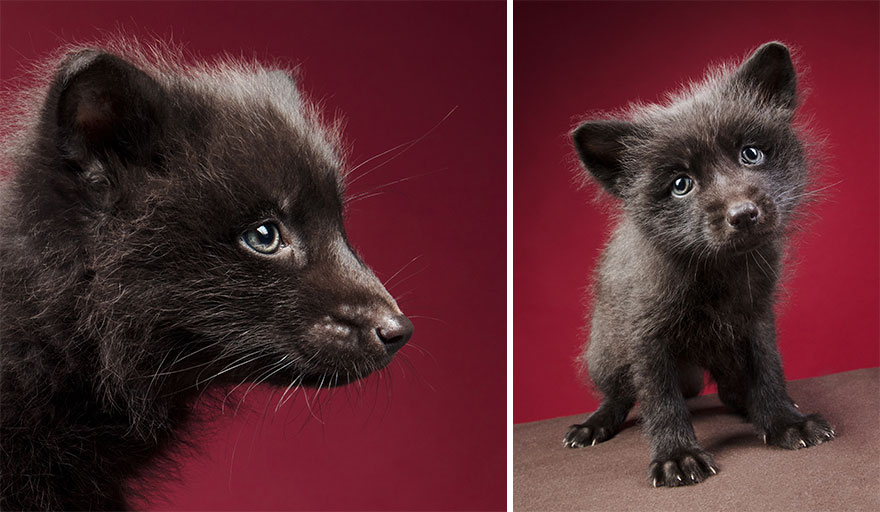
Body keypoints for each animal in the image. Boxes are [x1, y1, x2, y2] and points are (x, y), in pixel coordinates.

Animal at [562, 42, 834, 487]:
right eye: (680, 184)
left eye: (751, 153)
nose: (743, 214)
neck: (716, 271)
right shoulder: (646, 336)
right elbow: (660, 399)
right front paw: (677, 455)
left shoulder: (755, 317)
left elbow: (769, 371)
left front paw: (784, 420)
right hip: (605, 352)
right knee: (620, 394)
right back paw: (594, 424)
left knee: (728, 389)